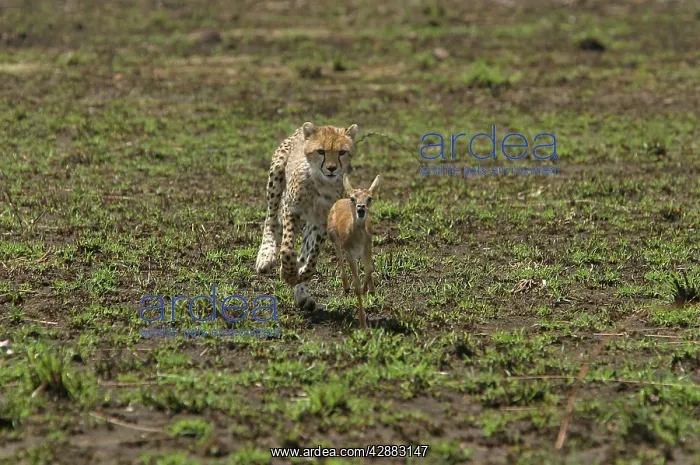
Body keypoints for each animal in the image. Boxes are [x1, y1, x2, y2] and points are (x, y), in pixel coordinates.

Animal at [255, 121, 360, 311]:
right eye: (321, 151)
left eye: (342, 152)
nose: (331, 168)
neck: (321, 183)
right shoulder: (291, 210)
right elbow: (287, 249)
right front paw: (287, 271)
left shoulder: (321, 223)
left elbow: (311, 259)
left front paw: (298, 276)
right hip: (276, 178)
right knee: (270, 220)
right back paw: (266, 256)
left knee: (304, 251)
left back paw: (301, 292)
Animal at [327, 174, 381, 329]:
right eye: (353, 198)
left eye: (369, 198)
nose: (361, 208)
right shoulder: (350, 254)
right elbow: (356, 286)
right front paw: (363, 324)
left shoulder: (367, 249)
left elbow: (370, 268)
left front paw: (367, 289)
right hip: (334, 239)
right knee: (339, 255)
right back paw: (346, 287)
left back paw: (371, 289)